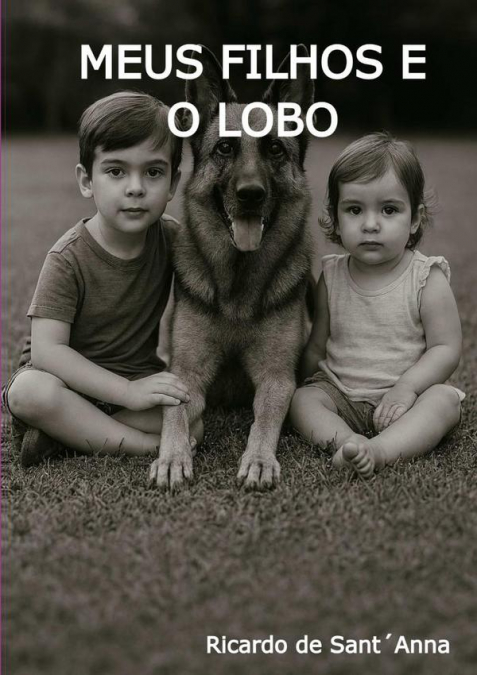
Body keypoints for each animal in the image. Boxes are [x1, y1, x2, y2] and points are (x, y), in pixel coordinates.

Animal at [149, 46, 314, 490]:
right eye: (225, 148)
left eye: (275, 149)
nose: (250, 195)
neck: (237, 285)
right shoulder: (185, 373)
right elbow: (174, 412)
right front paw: (172, 456)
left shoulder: (277, 377)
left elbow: (265, 419)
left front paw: (258, 459)